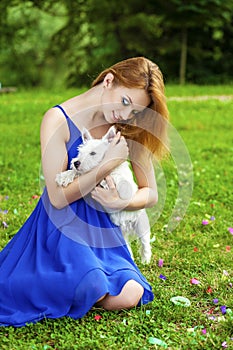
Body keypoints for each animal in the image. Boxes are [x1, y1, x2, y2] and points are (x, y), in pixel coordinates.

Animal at [55, 126, 152, 262]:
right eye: (80, 152)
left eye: (93, 153)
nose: (76, 162)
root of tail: (126, 225)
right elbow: (79, 174)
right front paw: (64, 176)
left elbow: (116, 177)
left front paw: (105, 181)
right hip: (121, 233)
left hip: (141, 224)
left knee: (145, 243)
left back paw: (145, 260)